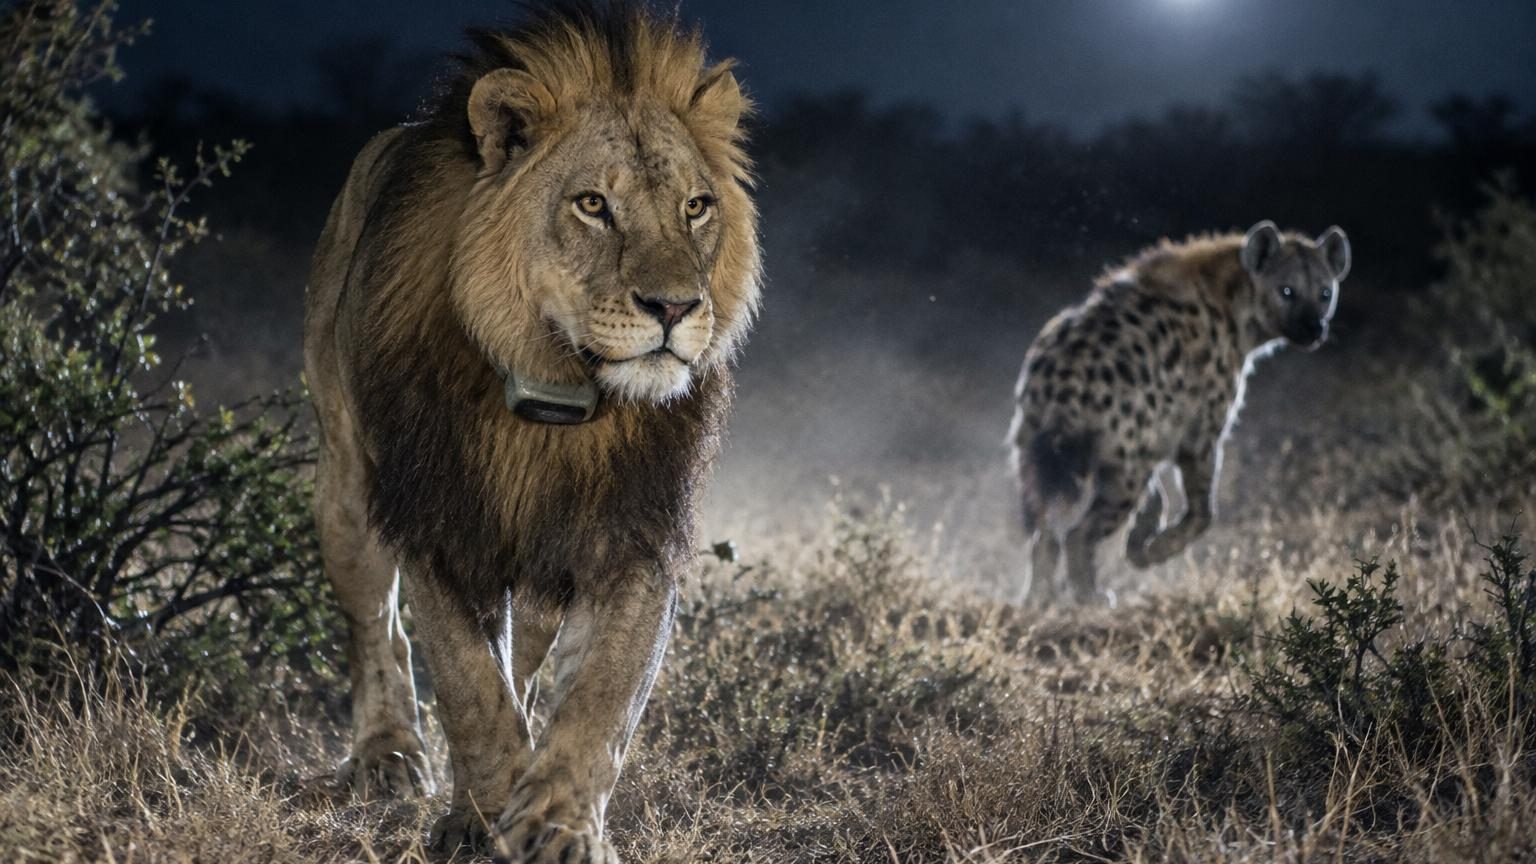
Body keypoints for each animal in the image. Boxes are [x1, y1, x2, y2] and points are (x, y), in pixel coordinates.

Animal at [302, 2, 760, 860]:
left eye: (696, 206)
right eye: (592, 205)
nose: (675, 307)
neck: (558, 396)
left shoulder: (635, 533)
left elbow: (600, 701)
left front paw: (556, 825)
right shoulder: (440, 526)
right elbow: (472, 693)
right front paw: (477, 819)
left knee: (527, 650)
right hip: (345, 487)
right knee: (377, 625)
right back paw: (389, 755)